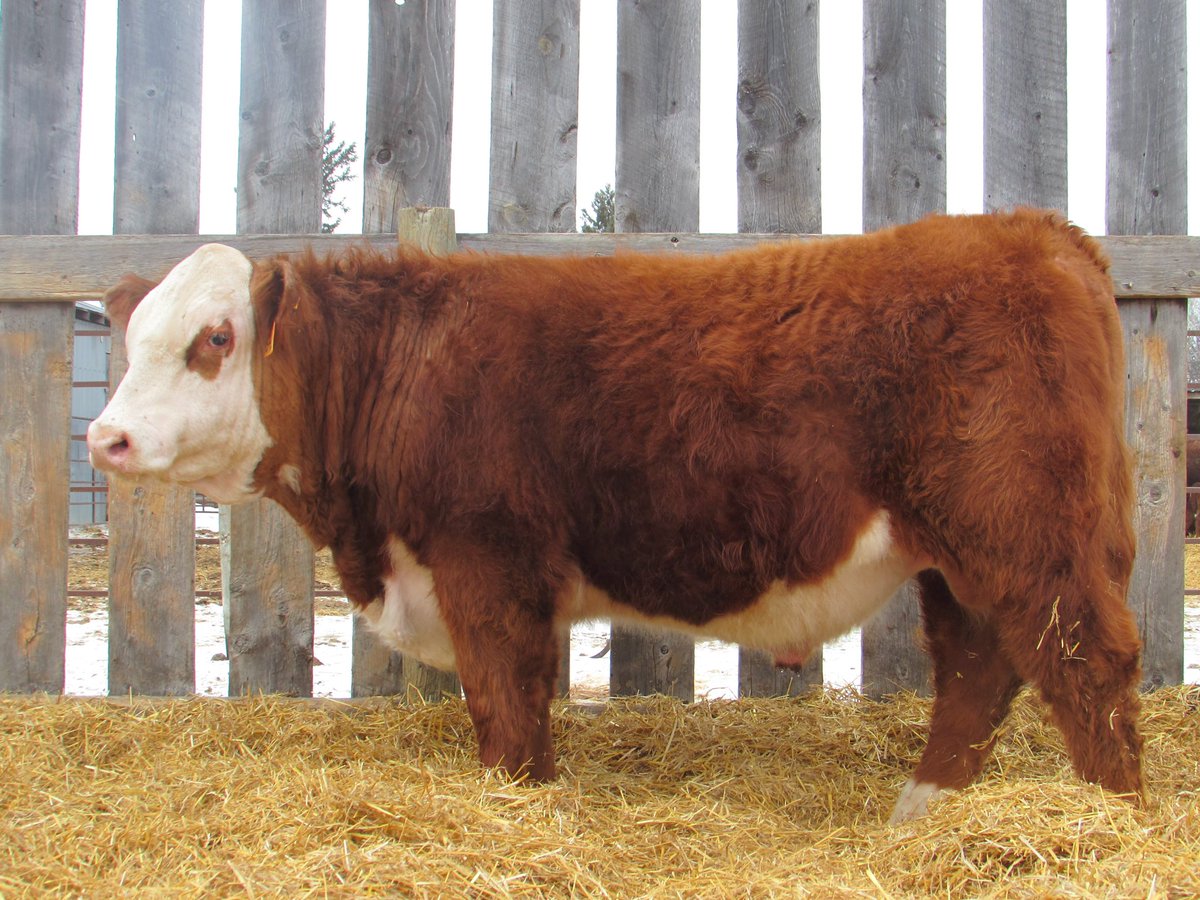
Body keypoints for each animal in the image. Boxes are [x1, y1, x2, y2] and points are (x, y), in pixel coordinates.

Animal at [87, 209, 1144, 823]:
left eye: (214, 338)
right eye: (134, 339)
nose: (107, 438)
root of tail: (1037, 230)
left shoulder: (488, 561)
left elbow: (505, 699)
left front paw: (516, 803)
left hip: (1024, 529)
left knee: (1084, 658)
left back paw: (1114, 820)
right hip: (961, 551)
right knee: (978, 662)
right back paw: (924, 813)